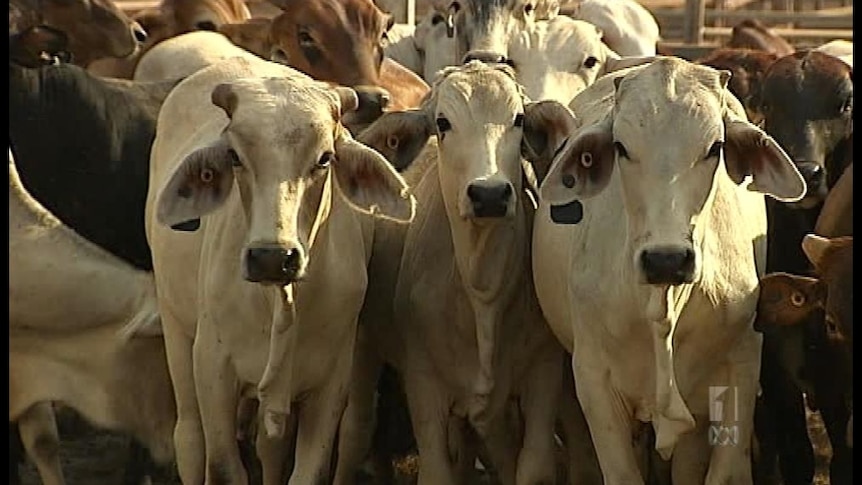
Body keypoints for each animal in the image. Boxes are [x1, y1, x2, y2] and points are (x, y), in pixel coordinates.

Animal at [145, 54, 416, 484]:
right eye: (234, 157)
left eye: (325, 158)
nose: (272, 257)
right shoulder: (213, 370)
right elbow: (222, 468)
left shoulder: (330, 382)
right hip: (177, 329)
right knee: (188, 437)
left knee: (269, 448)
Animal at [340, 61, 580, 484]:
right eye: (443, 122)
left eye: (518, 119)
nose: (489, 194)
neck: (483, 293)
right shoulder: (424, 386)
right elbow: (437, 469)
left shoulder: (543, 375)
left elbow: (532, 465)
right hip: (364, 344)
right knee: (356, 429)